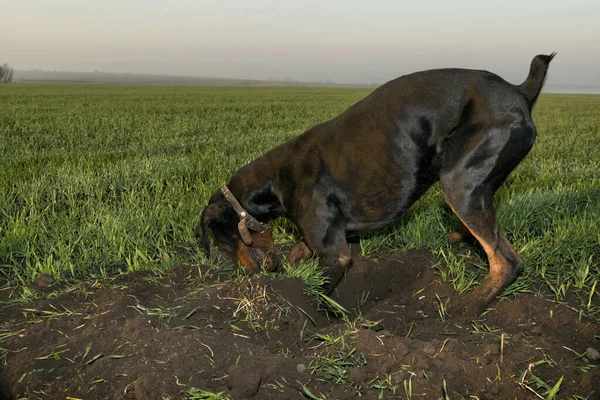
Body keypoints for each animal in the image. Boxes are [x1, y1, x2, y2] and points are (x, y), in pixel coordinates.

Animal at [199, 53, 556, 314]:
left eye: (222, 245)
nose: (246, 276)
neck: (274, 180)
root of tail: (520, 90)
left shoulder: (336, 254)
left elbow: (318, 291)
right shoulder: (322, 235)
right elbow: (297, 255)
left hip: (460, 183)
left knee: (505, 262)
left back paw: (468, 305)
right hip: (476, 186)